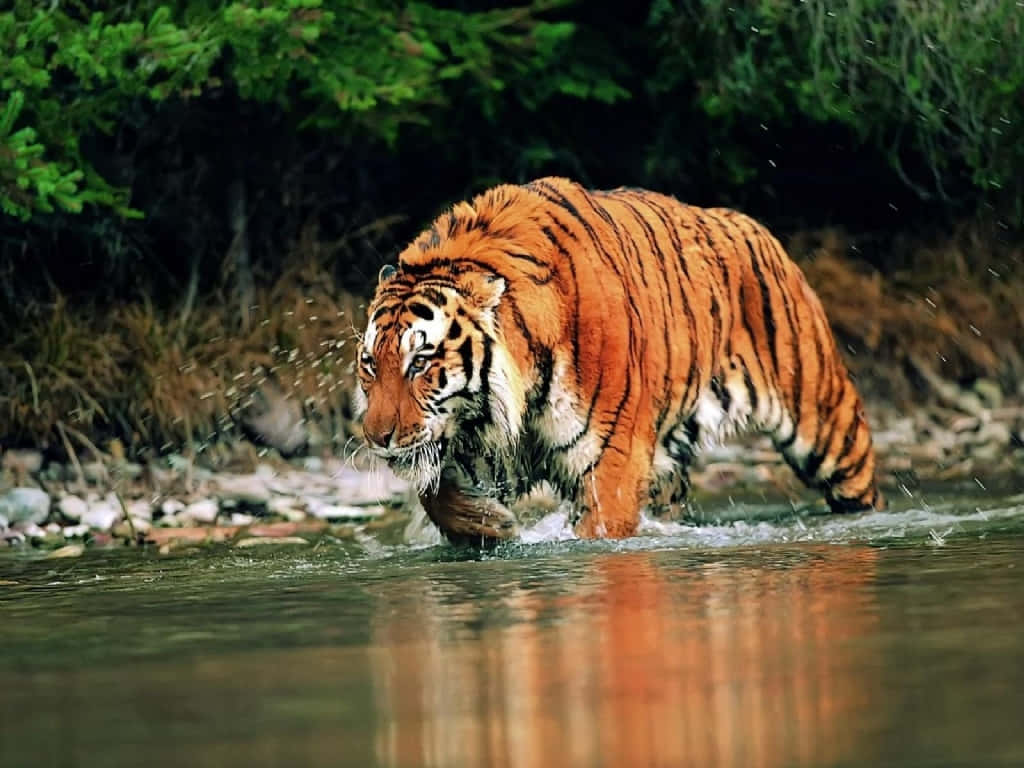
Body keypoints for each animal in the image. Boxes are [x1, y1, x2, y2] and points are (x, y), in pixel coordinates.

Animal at [353, 177, 884, 544]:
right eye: (370, 366)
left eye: (420, 363)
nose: (376, 438)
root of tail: (755, 228)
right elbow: (435, 493)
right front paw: (490, 525)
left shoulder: (611, 462)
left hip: (827, 426)